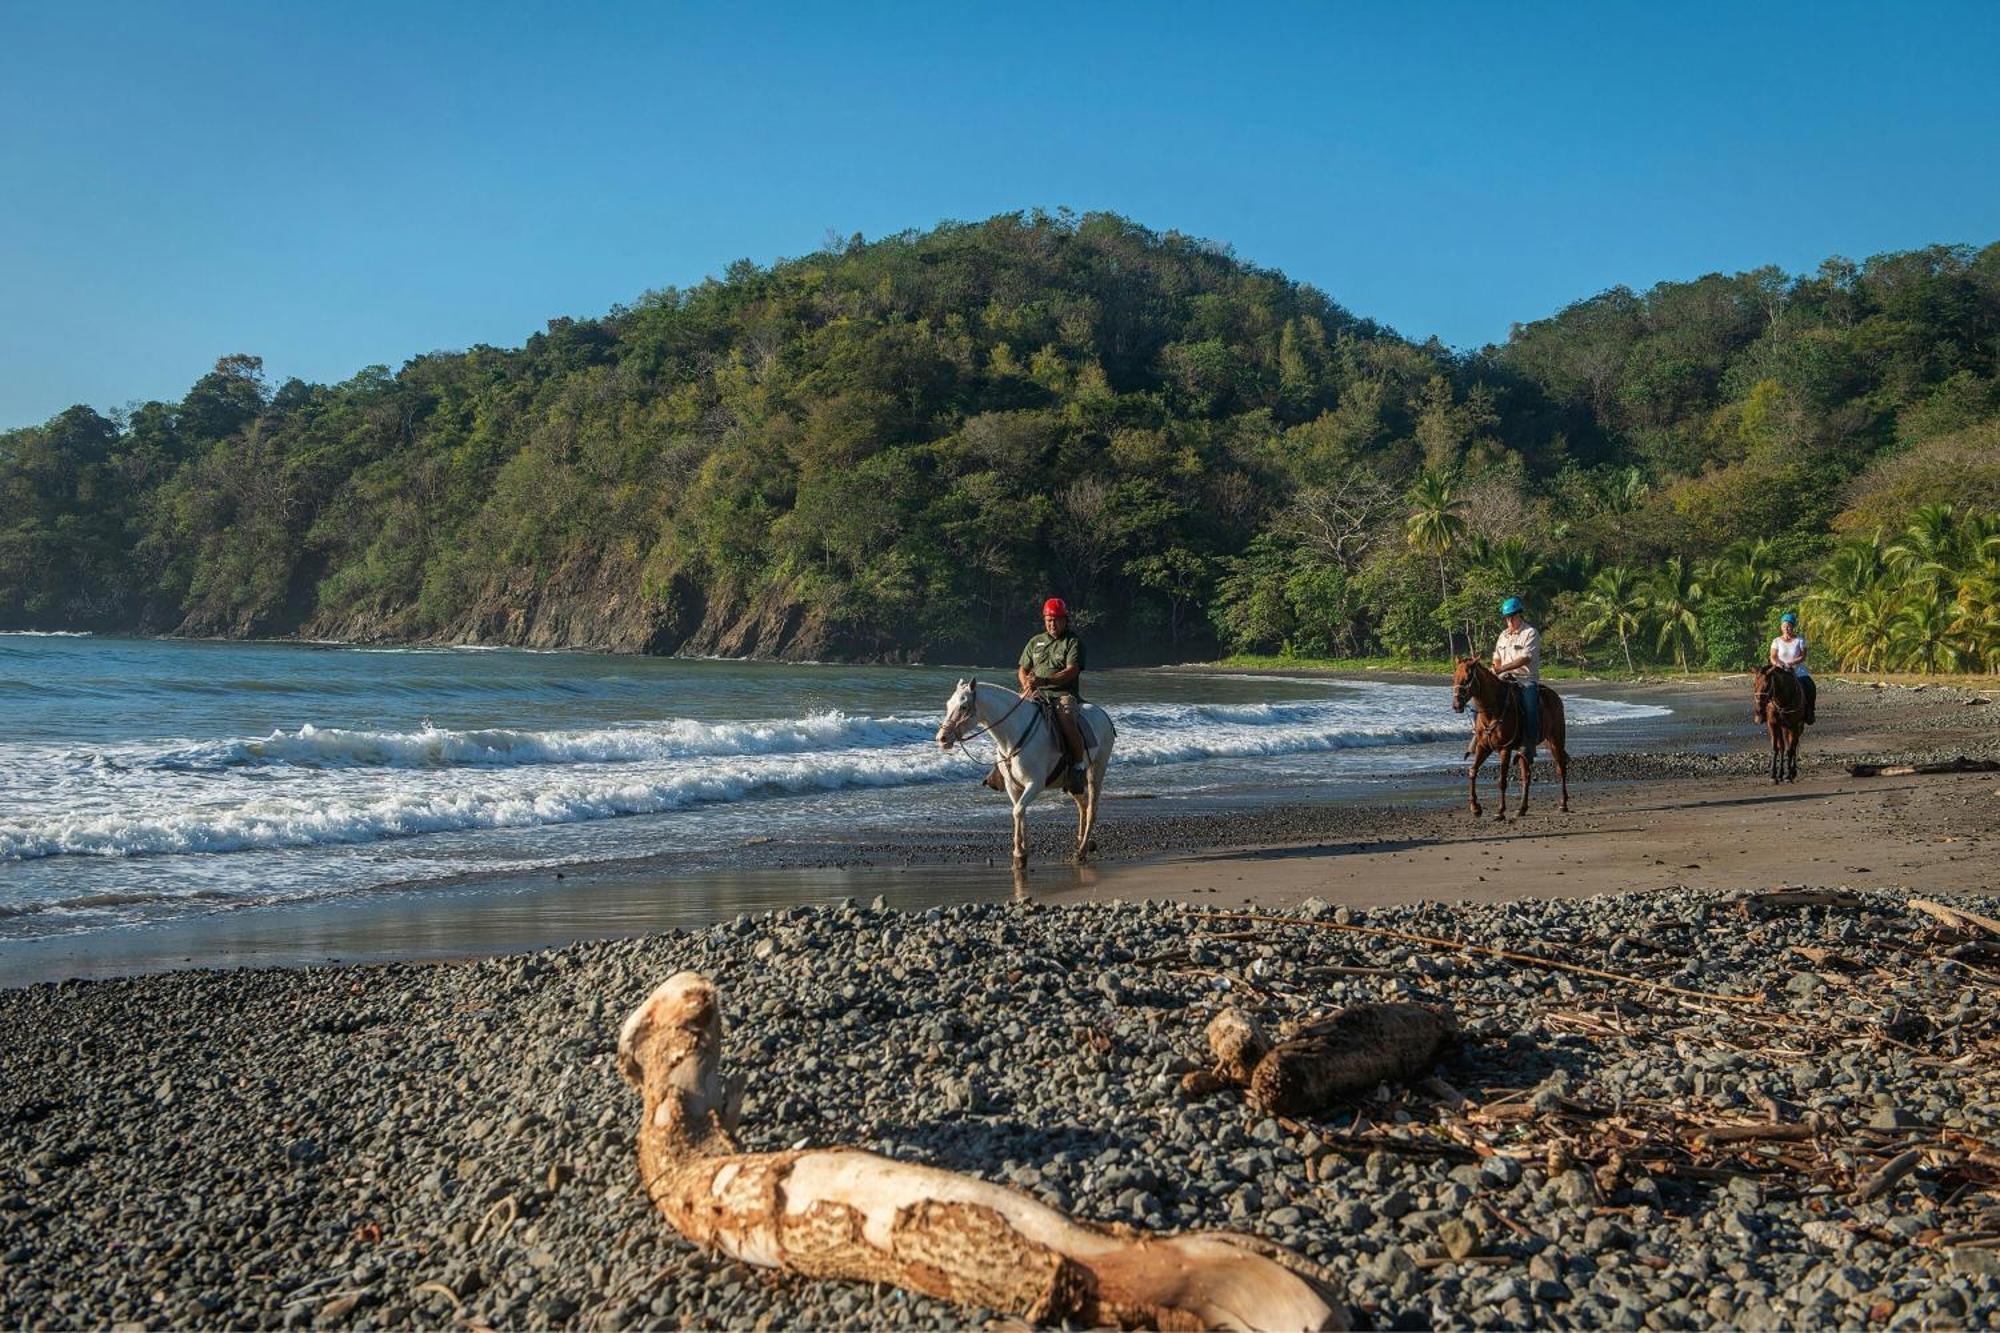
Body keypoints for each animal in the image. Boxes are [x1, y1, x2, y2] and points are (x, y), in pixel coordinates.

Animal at [932, 680, 1120, 868]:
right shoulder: (1012, 786)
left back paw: (1081, 851)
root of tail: (1102, 713)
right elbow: (1019, 811)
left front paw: (1019, 853)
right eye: (948, 704)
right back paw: (1083, 842)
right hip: (1070, 783)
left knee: (1091, 809)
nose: (941, 738)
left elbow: (1018, 811)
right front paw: (1022, 851)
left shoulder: (1034, 784)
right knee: (1083, 804)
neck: (1013, 735)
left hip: (1096, 771)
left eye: (963, 706)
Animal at [1448, 660, 1568, 816]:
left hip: (1555, 740)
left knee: (1561, 768)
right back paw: (1522, 808)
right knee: (1526, 775)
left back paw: (1563, 804)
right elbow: (1473, 771)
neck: (1492, 711)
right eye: (1454, 677)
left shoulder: (1505, 748)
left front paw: (1500, 811)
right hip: (1527, 748)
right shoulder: (1483, 747)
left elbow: (1502, 781)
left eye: (1468, 678)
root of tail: (1555, 696)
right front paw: (1475, 807)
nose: (1456, 705)